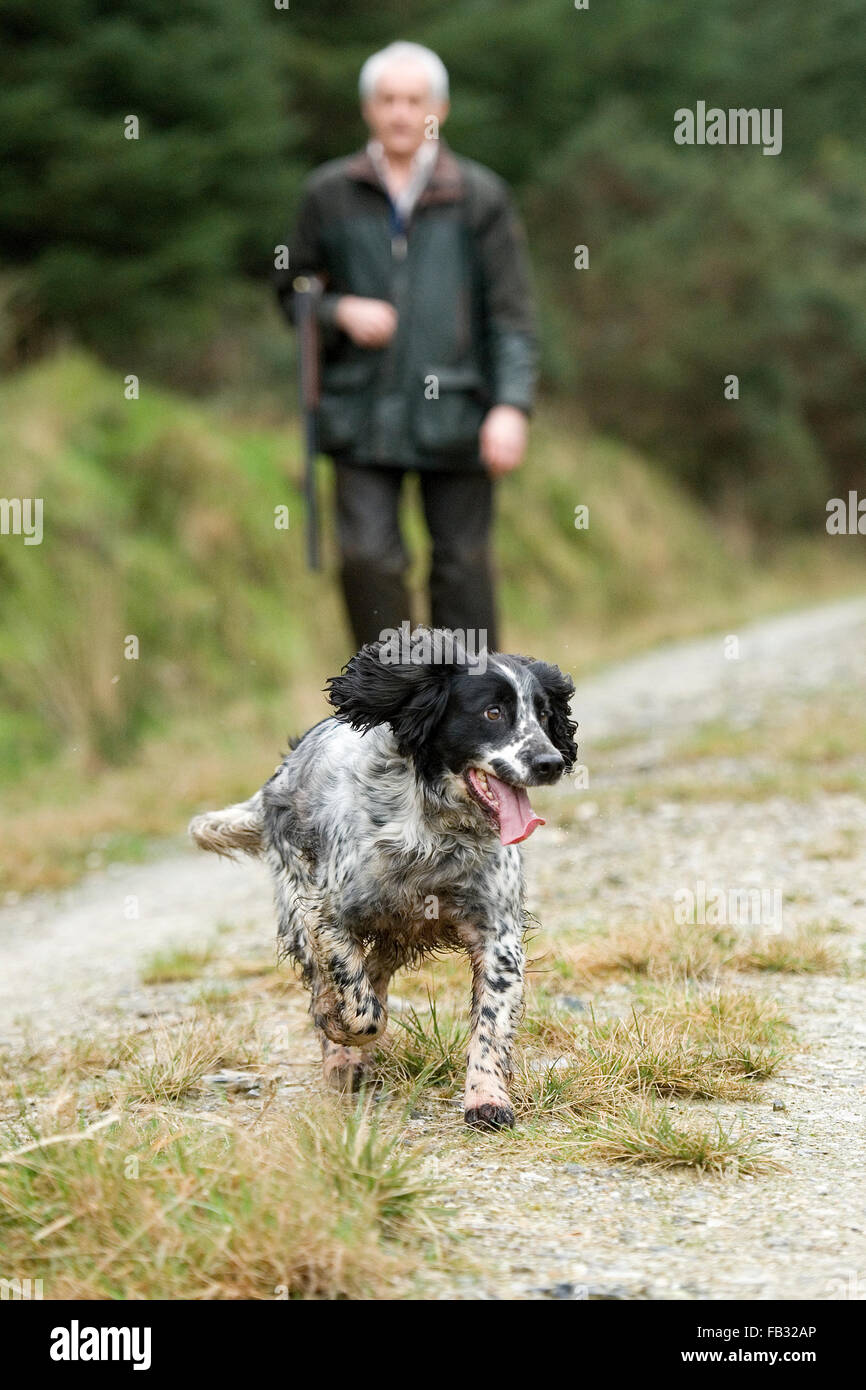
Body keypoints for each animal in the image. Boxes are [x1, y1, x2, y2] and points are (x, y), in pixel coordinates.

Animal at [193, 631, 578, 1128]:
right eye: (492, 712)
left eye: (545, 714)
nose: (551, 762)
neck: (436, 832)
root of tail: (274, 782)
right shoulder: (328, 914)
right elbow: (360, 1010)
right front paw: (339, 1028)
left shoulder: (499, 932)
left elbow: (491, 1022)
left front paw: (487, 1099)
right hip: (298, 901)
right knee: (328, 980)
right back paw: (339, 1055)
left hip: (400, 930)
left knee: (376, 967)